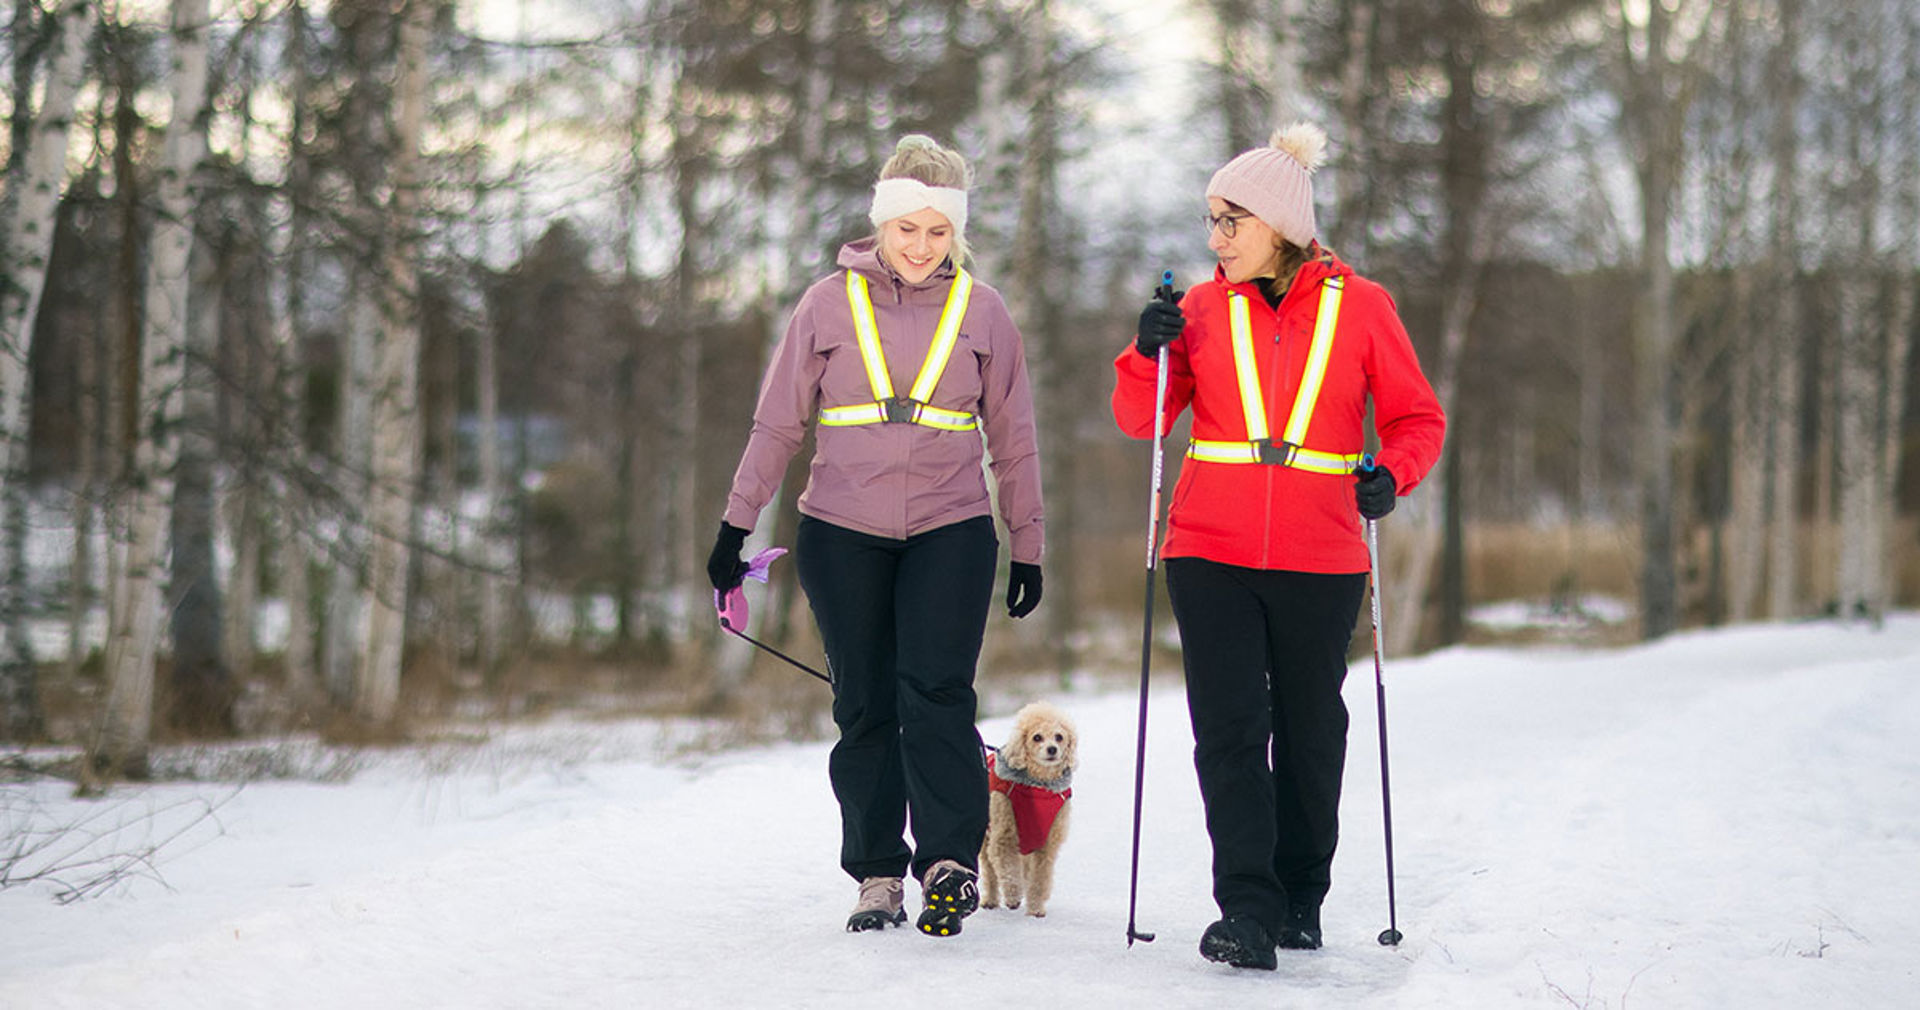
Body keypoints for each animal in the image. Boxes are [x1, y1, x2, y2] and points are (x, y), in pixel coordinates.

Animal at [983, 706, 1075, 917]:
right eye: (1037, 737)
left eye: (1059, 737)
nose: (1052, 749)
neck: (1038, 787)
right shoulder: (1003, 836)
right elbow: (1008, 869)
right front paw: (1013, 897)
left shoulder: (1047, 844)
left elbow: (1040, 880)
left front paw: (1035, 910)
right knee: (990, 871)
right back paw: (990, 900)